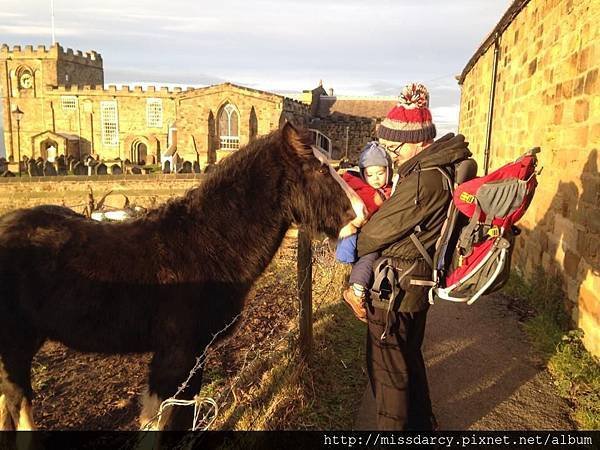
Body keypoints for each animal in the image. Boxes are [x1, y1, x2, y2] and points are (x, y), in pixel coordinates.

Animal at [0, 122, 364, 428]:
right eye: (320, 169)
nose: (362, 214)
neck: (206, 244)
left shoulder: (196, 356)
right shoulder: (176, 356)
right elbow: (162, 423)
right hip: (14, 345)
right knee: (18, 405)